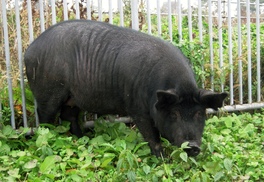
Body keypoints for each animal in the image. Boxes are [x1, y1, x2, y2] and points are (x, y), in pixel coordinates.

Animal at [24, 19, 227, 156]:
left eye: (200, 113)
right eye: (174, 113)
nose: (193, 146)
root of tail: (29, 49)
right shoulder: (137, 108)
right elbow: (151, 136)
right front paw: (162, 158)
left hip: (73, 98)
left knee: (70, 116)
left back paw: (83, 140)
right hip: (48, 92)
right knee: (45, 118)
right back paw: (49, 139)